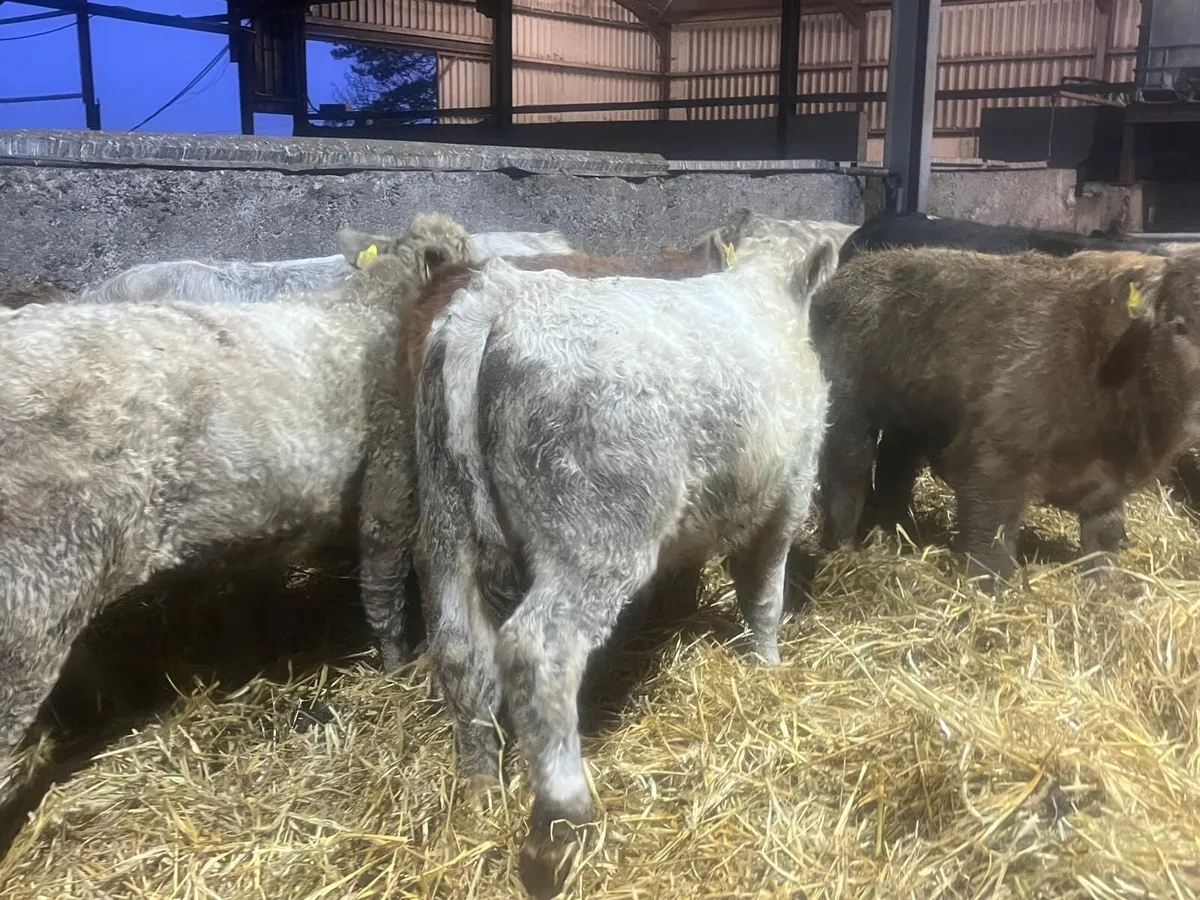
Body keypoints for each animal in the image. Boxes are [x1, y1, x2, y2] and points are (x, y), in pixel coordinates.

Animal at [411, 210, 840, 898]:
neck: (763, 292)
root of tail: (503, 296)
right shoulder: (788, 493)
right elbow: (765, 594)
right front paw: (767, 665)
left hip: (446, 518)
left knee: (458, 648)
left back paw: (478, 788)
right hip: (598, 530)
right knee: (537, 648)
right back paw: (560, 823)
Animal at [810, 244, 1200, 591]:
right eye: (1178, 326)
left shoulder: (1108, 484)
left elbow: (1102, 542)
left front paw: (1101, 590)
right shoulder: (994, 461)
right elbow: (991, 548)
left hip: (908, 420)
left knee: (894, 471)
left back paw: (895, 534)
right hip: (847, 414)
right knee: (846, 480)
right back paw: (841, 552)